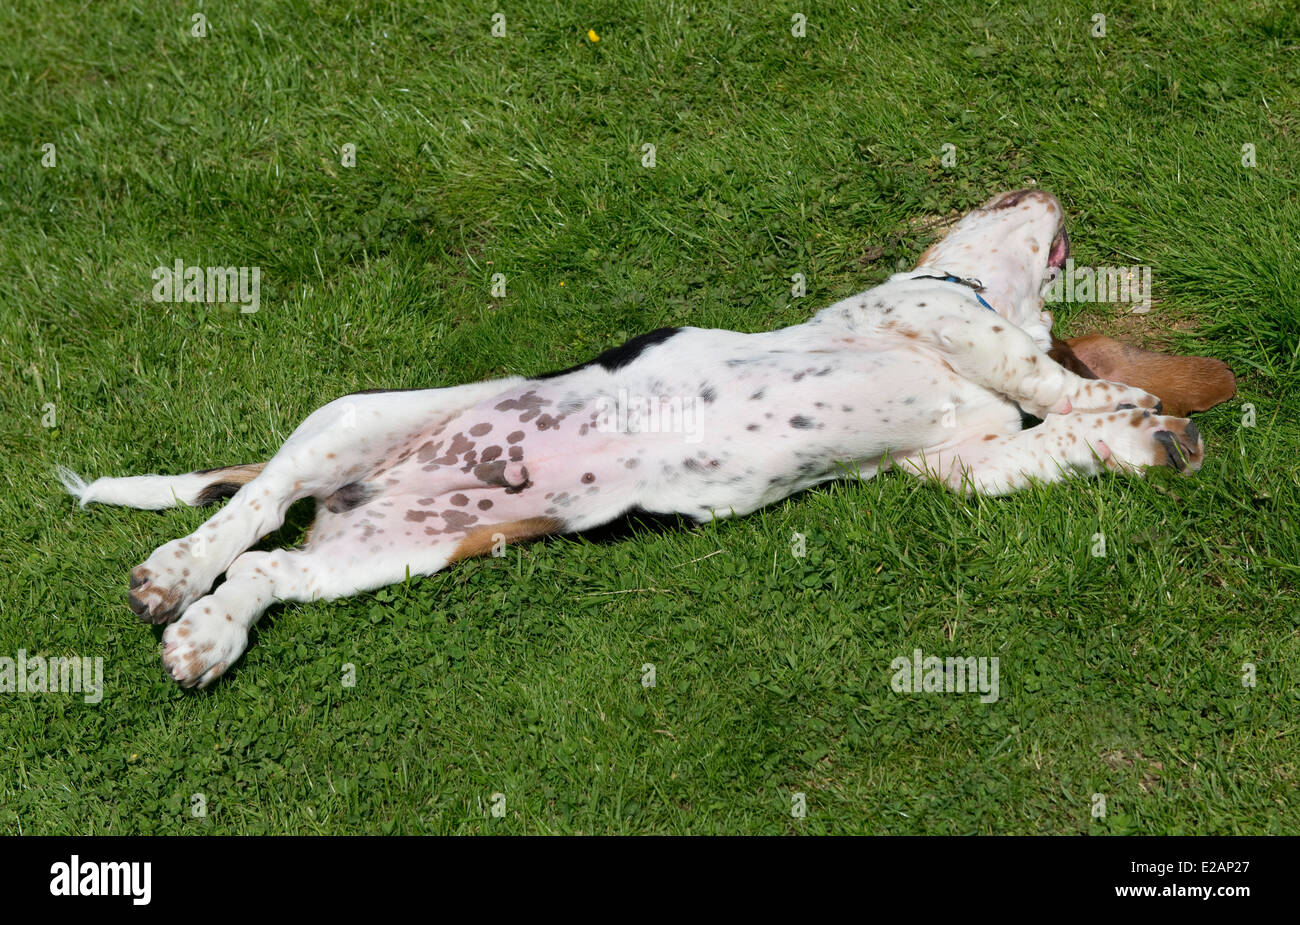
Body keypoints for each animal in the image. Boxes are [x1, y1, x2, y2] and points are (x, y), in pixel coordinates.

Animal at [58, 189, 1237, 685]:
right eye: (1000, 196)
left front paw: (1144, 443)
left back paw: (206, 637)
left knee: (268, 569)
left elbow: (1036, 442)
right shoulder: (938, 322)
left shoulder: (957, 463)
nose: (1041, 177)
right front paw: (1121, 409)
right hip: (356, 416)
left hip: (396, 552)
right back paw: (172, 575)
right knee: (250, 508)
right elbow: (1048, 378)